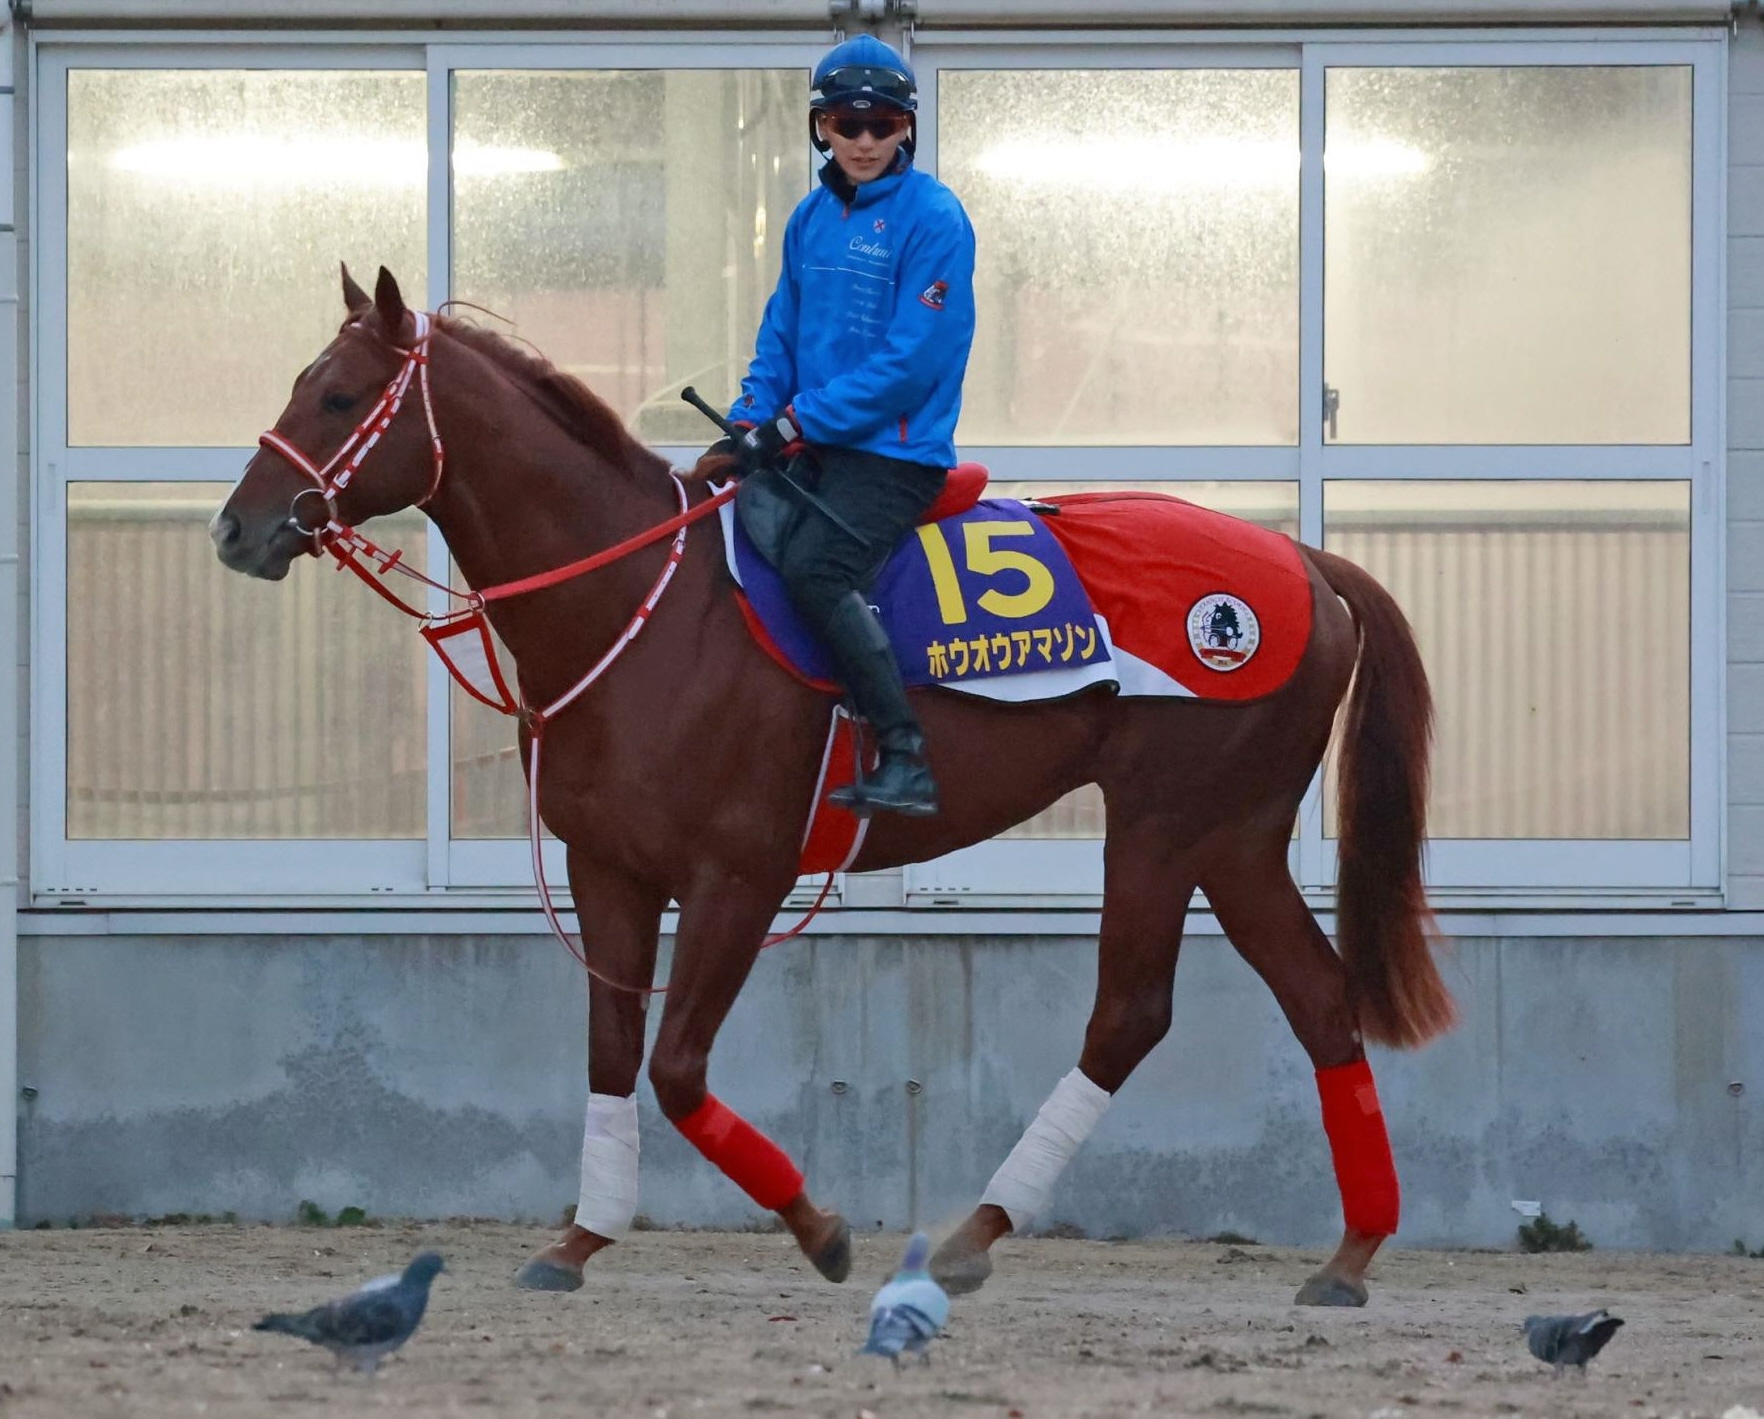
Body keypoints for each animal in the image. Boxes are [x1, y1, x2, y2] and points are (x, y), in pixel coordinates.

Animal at [212, 266, 1455, 1308]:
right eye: (301, 385)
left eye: (339, 396)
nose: (236, 528)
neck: (643, 604)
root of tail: (1307, 565)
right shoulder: (607, 868)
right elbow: (613, 1056)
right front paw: (579, 1240)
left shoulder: (739, 872)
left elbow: (675, 1069)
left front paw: (820, 1229)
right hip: (1235, 839)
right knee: (1317, 1001)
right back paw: (1346, 1253)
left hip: (1169, 824)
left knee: (1133, 1014)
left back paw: (983, 1234)